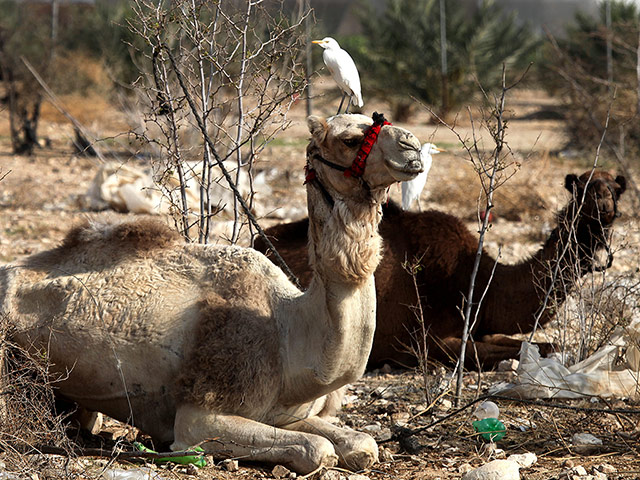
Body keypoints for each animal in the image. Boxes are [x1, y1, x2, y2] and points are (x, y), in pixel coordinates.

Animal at [0, 113, 423, 473]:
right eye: (349, 140)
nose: (413, 146)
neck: (290, 334)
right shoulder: (200, 416)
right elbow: (317, 450)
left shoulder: (293, 413)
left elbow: (363, 444)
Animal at [255, 170, 627, 368]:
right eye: (582, 188)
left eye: (615, 189)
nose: (604, 206)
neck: (480, 284)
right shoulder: (422, 344)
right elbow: (487, 353)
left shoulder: (481, 327)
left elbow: (542, 345)